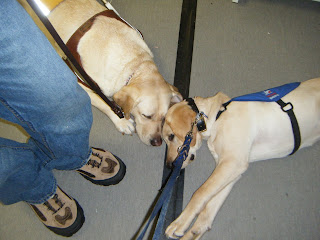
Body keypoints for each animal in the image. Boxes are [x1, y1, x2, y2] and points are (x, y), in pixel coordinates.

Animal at [44, 0, 181, 145]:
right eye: (146, 116)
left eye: (164, 118)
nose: (157, 142)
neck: (135, 63)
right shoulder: (80, 81)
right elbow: (104, 104)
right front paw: (121, 121)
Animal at [162, 78, 320, 239]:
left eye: (171, 136)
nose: (169, 166)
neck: (217, 116)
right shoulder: (231, 168)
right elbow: (209, 208)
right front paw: (194, 231)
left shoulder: (233, 162)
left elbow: (200, 193)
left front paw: (180, 223)